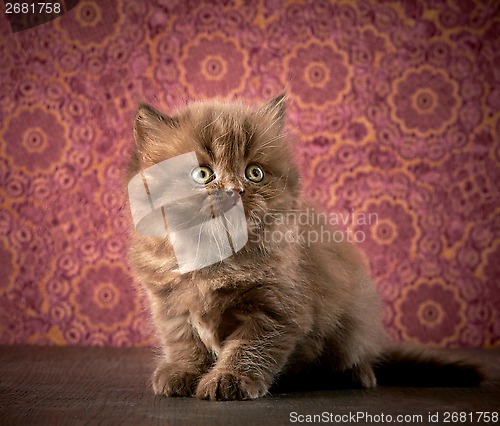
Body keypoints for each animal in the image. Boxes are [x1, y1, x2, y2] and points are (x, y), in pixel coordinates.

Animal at [126, 95, 484, 402]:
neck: (214, 259)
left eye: (254, 172)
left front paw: (229, 380)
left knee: (357, 354)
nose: (235, 191)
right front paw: (182, 374)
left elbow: (247, 348)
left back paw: (359, 375)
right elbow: (184, 343)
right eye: (202, 174)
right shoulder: (170, 305)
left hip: (355, 322)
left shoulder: (278, 306)